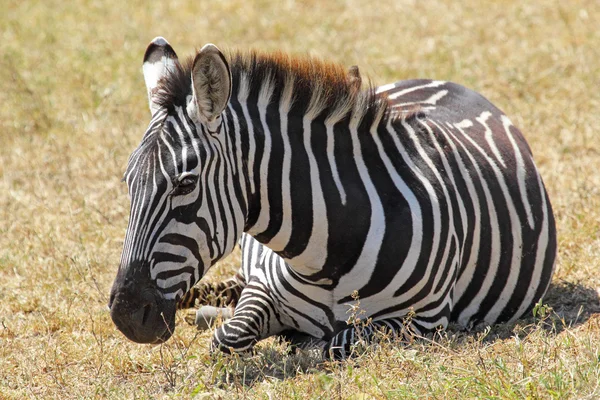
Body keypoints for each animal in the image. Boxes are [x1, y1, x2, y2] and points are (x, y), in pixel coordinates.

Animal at [109, 36, 556, 358]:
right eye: (129, 183)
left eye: (185, 184)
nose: (125, 316)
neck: (323, 258)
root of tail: (448, 83)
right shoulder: (261, 289)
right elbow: (228, 337)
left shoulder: (419, 322)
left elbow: (333, 344)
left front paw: (299, 342)